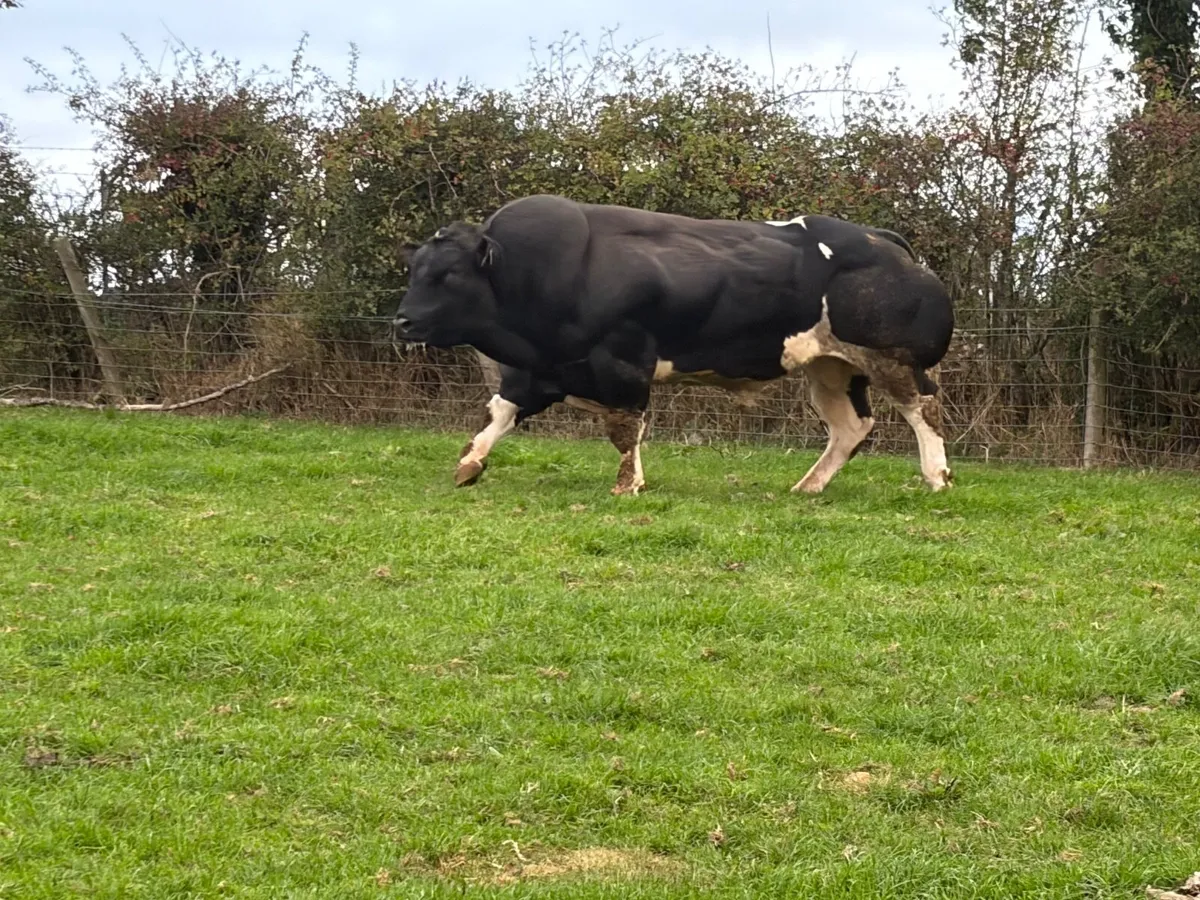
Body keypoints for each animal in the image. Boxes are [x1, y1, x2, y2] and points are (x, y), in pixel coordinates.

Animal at [393, 194, 954, 496]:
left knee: (923, 410)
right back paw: (808, 486)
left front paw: (627, 485)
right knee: (851, 427)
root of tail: (881, 239)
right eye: (414, 269)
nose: (402, 320)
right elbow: (498, 412)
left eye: (447, 274)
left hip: (893, 360)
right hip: (830, 368)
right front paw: (469, 464)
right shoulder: (541, 369)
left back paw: (937, 477)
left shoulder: (622, 362)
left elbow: (625, 429)